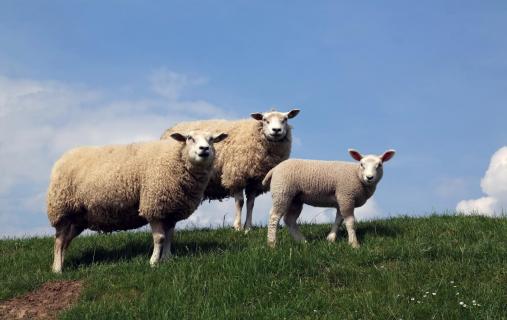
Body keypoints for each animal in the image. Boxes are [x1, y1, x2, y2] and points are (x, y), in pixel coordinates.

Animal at [45, 130, 228, 272]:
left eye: (212, 139)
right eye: (190, 138)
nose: (204, 149)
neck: (176, 159)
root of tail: (61, 159)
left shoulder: (170, 211)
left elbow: (169, 237)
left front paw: (167, 259)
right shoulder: (153, 205)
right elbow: (160, 238)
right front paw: (153, 262)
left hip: (79, 218)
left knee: (65, 241)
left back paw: (60, 263)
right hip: (62, 209)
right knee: (59, 240)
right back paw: (57, 269)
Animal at [161, 109, 300, 231]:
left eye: (285, 119)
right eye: (265, 120)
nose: (276, 130)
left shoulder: (255, 181)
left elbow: (251, 203)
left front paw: (248, 227)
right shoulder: (236, 175)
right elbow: (240, 202)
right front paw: (237, 227)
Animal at [262, 149, 396, 249]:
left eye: (379, 165)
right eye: (362, 164)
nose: (369, 177)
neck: (356, 175)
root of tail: (274, 169)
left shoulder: (341, 199)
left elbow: (338, 220)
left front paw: (331, 238)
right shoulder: (346, 195)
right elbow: (350, 221)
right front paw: (354, 244)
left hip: (295, 199)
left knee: (289, 219)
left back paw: (303, 242)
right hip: (282, 191)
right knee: (274, 216)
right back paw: (272, 243)